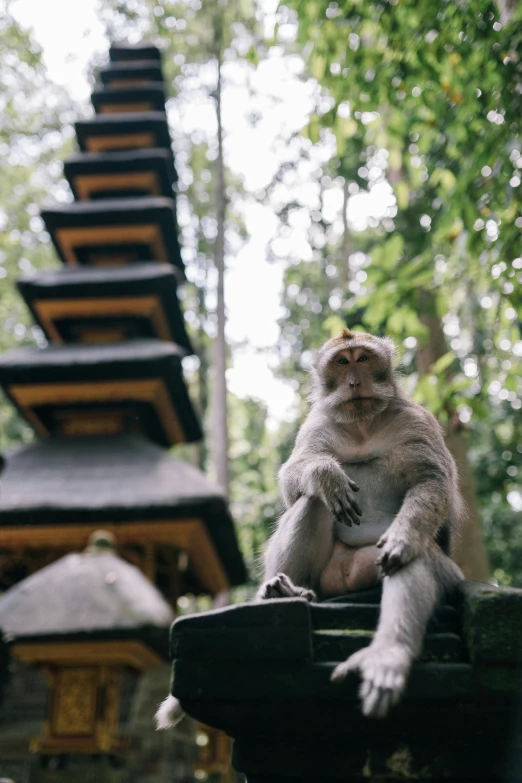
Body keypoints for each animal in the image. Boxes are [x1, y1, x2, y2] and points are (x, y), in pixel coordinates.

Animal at [256, 328, 464, 720]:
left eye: (363, 359)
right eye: (342, 362)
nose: (354, 382)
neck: (363, 423)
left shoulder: (417, 420)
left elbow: (431, 482)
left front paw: (403, 536)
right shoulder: (316, 424)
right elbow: (294, 483)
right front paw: (326, 474)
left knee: (413, 558)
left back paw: (386, 655)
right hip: (325, 576)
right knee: (315, 502)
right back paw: (282, 591)